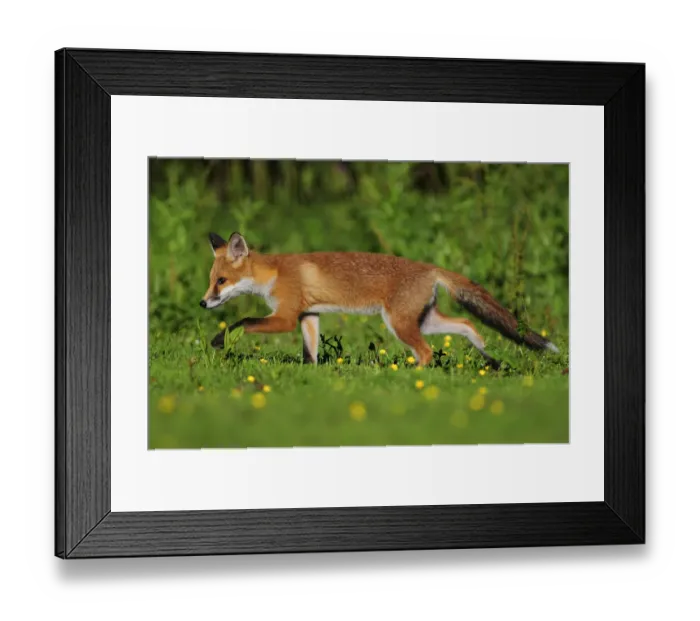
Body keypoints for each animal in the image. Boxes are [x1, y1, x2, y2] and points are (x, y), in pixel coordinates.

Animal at [201, 231, 559, 368]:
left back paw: (411, 376)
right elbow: (310, 353)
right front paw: (311, 377)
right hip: (423, 321)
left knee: (427, 352)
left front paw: (220, 339)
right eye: (210, 281)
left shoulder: (287, 317)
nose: (203, 304)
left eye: (221, 281)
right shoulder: (308, 317)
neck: (274, 272)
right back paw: (489, 358)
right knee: (467, 323)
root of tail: (430, 267)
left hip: (399, 323)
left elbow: (244, 321)